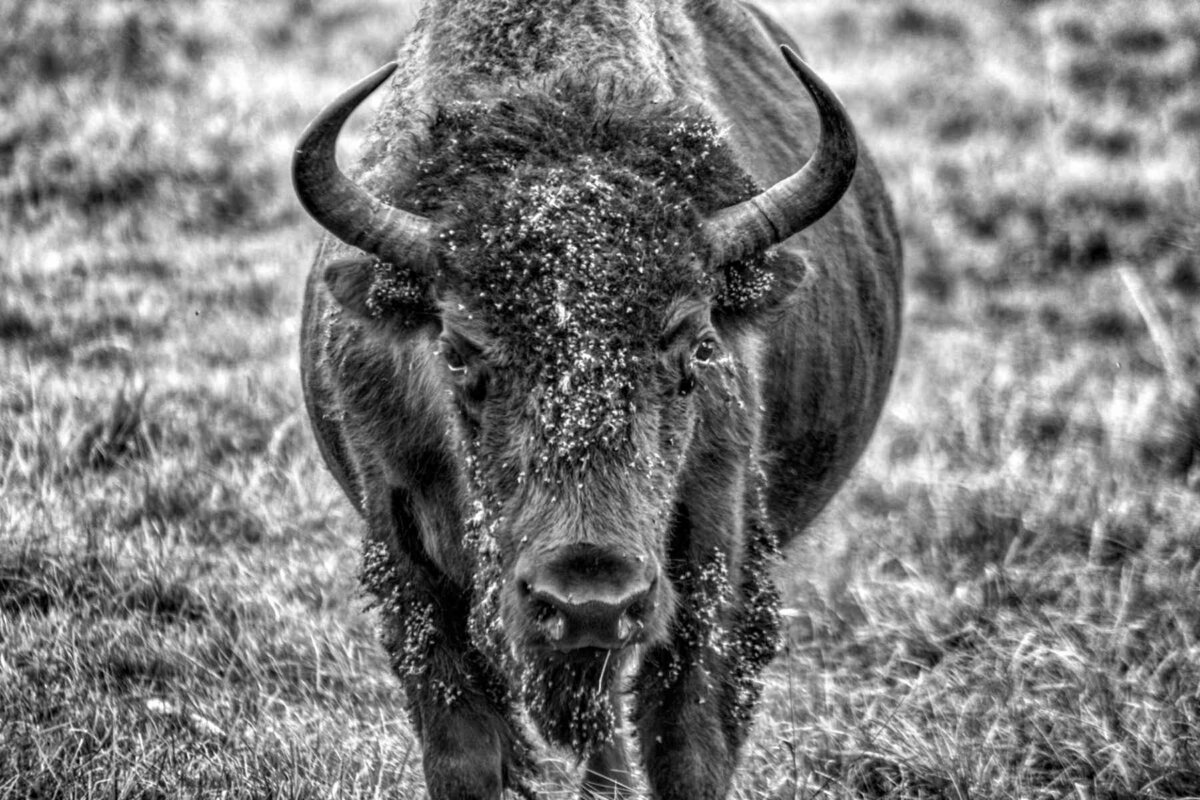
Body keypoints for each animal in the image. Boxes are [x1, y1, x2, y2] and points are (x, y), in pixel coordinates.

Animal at [293, 1, 901, 798]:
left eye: (696, 348)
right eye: (457, 352)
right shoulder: (404, 552)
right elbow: (462, 748)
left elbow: (689, 746)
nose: (590, 600)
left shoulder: (715, 556)